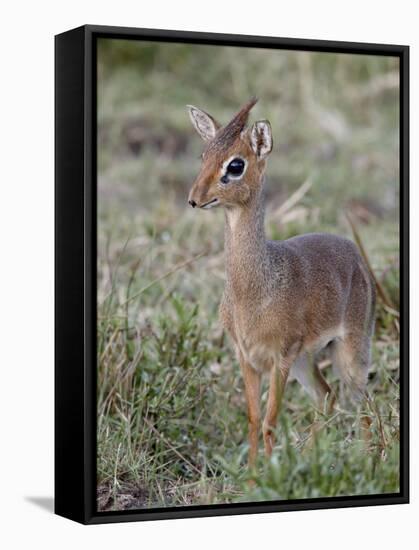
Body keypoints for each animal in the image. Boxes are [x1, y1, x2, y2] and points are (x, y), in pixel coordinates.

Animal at [187, 99, 378, 470]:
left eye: (235, 164)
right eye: (204, 154)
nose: (194, 198)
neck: (253, 292)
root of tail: (353, 251)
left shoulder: (280, 358)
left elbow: (270, 421)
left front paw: (269, 474)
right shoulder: (247, 357)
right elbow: (252, 419)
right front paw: (252, 474)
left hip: (350, 352)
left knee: (363, 401)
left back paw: (365, 460)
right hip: (308, 360)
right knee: (327, 396)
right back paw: (307, 458)